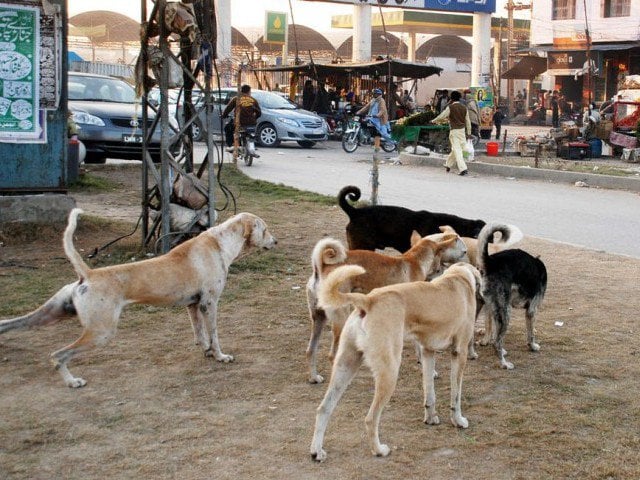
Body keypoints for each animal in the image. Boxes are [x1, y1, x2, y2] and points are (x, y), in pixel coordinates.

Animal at [0, 208, 276, 388]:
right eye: (265, 229)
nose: (275, 241)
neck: (220, 243)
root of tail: (87, 274)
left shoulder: (193, 306)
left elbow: (200, 335)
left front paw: (207, 352)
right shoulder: (210, 304)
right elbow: (215, 335)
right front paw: (221, 356)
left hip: (51, 313)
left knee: (10, 324)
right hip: (101, 332)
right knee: (58, 355)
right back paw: (73, 381)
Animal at [312, 262, 484, 462]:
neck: (458, 277)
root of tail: (368, 300)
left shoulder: (427, 353)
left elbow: (429, 393)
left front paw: (430, 418)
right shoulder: (459, 353)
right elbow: (456, 396)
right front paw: (458, 421)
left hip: (346, 367)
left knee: (323, 409)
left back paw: (317, 451)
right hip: (389, 372)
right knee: (370, 418)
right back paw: (379, 450)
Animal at [478, 223, 548, 370]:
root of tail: (490, 262)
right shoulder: (531, 311)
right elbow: (531, 334)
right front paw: (533, 346)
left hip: (492, 308)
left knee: (493, 334)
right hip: (506, 312)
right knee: (497, 342)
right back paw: (504, 364)